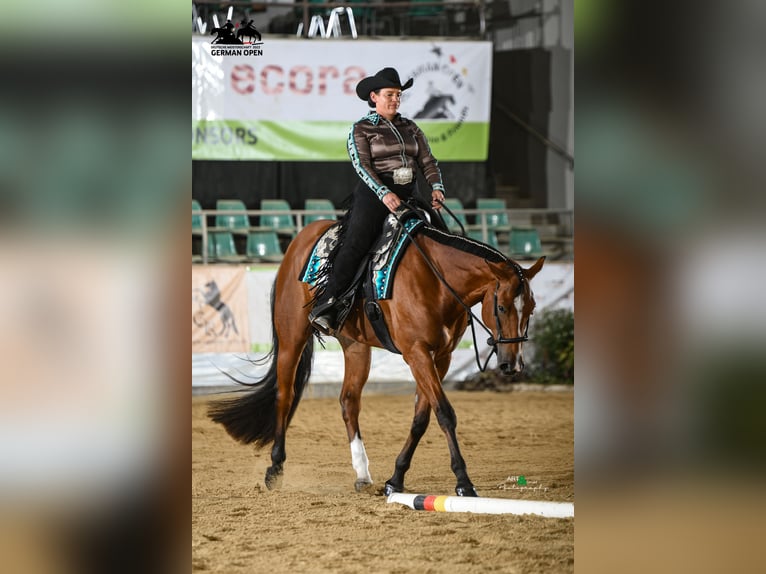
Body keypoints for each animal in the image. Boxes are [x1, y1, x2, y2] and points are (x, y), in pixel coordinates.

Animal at [210, 218, 544, 498]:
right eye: (501, 307)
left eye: (531, 308)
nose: (512, 364)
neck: (435, 280)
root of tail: (302, 238)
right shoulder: (417, 353)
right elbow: (445, 413)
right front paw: (463, 482)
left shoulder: (441, 357)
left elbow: (421, 418)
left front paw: (395, 479)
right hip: (292, 336)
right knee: (285, 395)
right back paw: (275, 468)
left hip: (356, 346)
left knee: (348, 401)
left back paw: (362, 473)